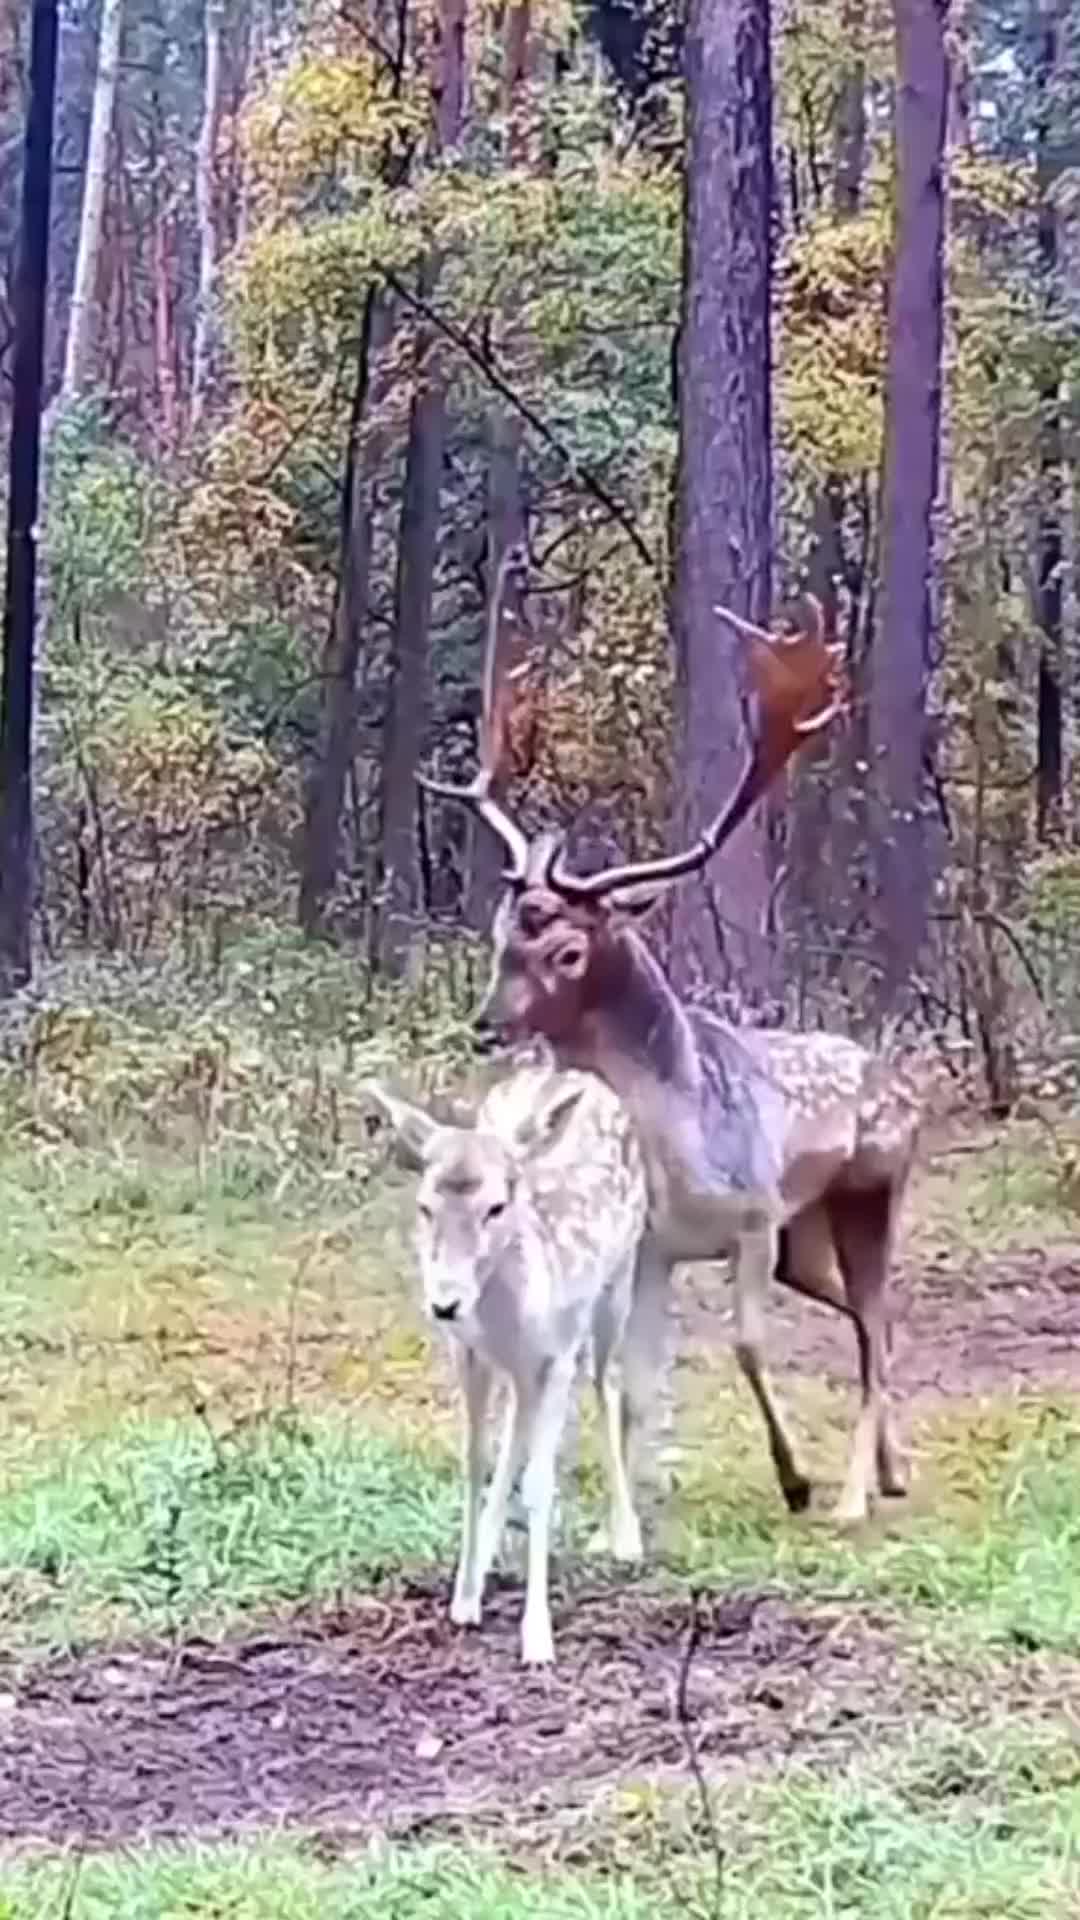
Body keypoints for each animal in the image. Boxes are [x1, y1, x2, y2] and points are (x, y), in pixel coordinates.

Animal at [364, 1051, 649, 1665]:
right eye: (424, 1206)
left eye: (496, 1206)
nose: (444, 1303)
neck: (505, 1319)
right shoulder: (470, 1353)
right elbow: (475, 1462)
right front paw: (464, 1596)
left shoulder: (558, 1353)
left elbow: (541, 1483)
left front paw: (537, 1638)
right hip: (522, 1367)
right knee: (517, 1427)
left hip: (618, 1283)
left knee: (608, 1385)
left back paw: (627, 1537)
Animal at [418, 585, 923, 1529]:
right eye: (502, 935)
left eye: (568, 950)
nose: (484, 1025)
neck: (678, 1148)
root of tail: (905, 1082)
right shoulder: (655, 1248)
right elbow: (632, 1378)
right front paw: (640, 1499)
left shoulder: (756, 1214)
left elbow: (749, 1344)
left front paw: (794, 1479)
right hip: (807, 1235)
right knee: (863, 1314)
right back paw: (896, 1466)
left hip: (871, 1192)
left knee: (876, 1319)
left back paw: (850, 1495)